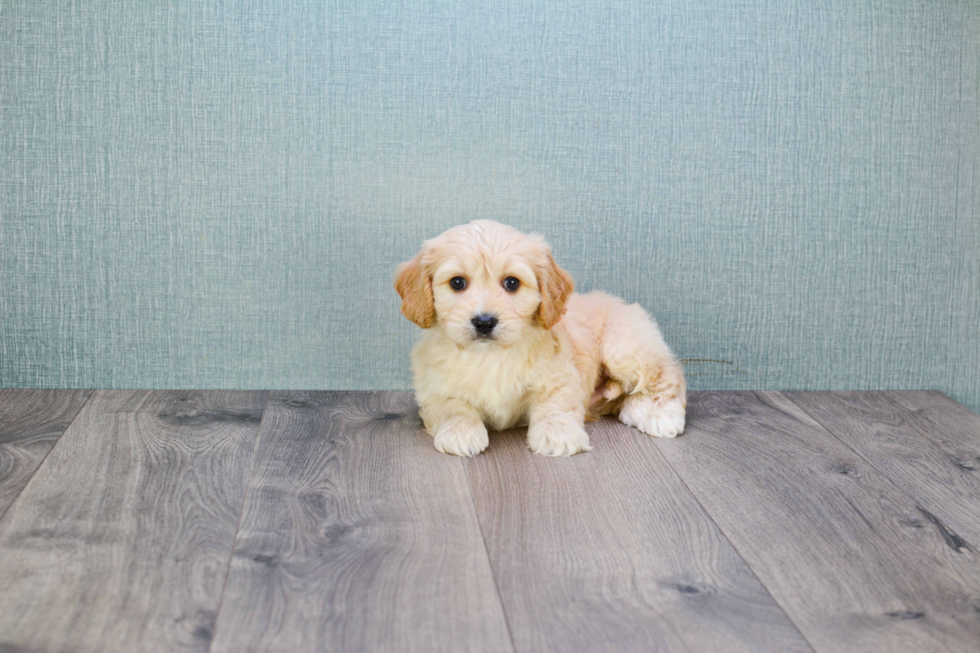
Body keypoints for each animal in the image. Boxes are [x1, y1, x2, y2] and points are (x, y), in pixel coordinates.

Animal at [394, 222, 684, 456]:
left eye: (512, 283)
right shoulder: (435, 388)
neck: (491, 355)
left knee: (668, 373)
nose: (484, 322)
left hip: (624, 348)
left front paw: (558, 433)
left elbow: (554, 403)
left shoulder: (561, 375)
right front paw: (460, 432)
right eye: (457, 283)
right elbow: (452, 407)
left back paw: (660, 414)